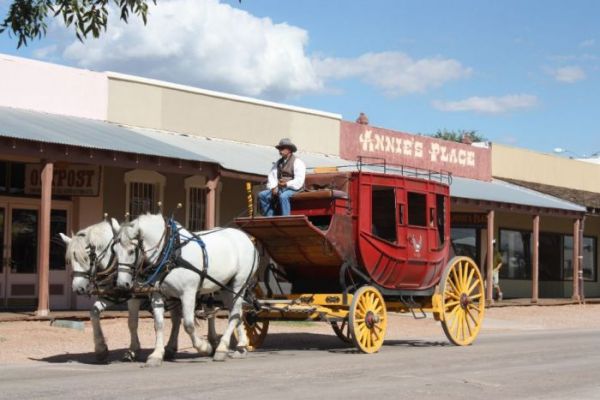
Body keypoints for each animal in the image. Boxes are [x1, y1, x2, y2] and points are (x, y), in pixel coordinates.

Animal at [60, 220, 216, 364]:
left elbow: (132, 322)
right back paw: (171, 348)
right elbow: (94, 312)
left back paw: (213, 343)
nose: (78, 288)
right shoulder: (114, 294)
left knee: (210, 313)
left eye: (86, 257)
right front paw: (101, 349)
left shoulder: (133, 296)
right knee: (177, 318)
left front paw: (133, 350)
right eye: (69, 260)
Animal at [115, 216, 258, 366]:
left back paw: (222, 348)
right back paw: (241, 346)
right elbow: (158, 324)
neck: (170, 252)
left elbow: (188, 324)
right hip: (225, 287)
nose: (122, 284)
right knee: (237, 313)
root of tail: (246, 238)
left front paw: (205, 347)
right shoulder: (157, 294)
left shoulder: (188, 293)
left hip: (239, 284)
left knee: (234, 314)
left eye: (131, 251)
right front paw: (156, 355)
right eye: (115, 251)